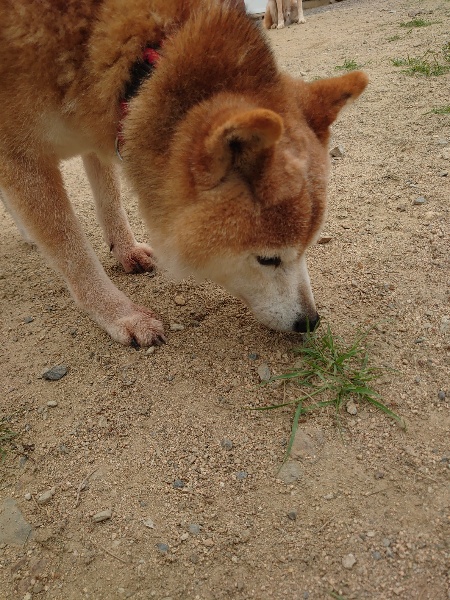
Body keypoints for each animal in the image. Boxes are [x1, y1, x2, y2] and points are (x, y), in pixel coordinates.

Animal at [0, 0, 367, 347]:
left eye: (308, 247)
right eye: (267, 259)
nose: (310, 322)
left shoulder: (96, 128)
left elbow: (110, 201)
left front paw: (125, 250)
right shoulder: (19, 155)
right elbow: (74, 254)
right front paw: (121, 315)